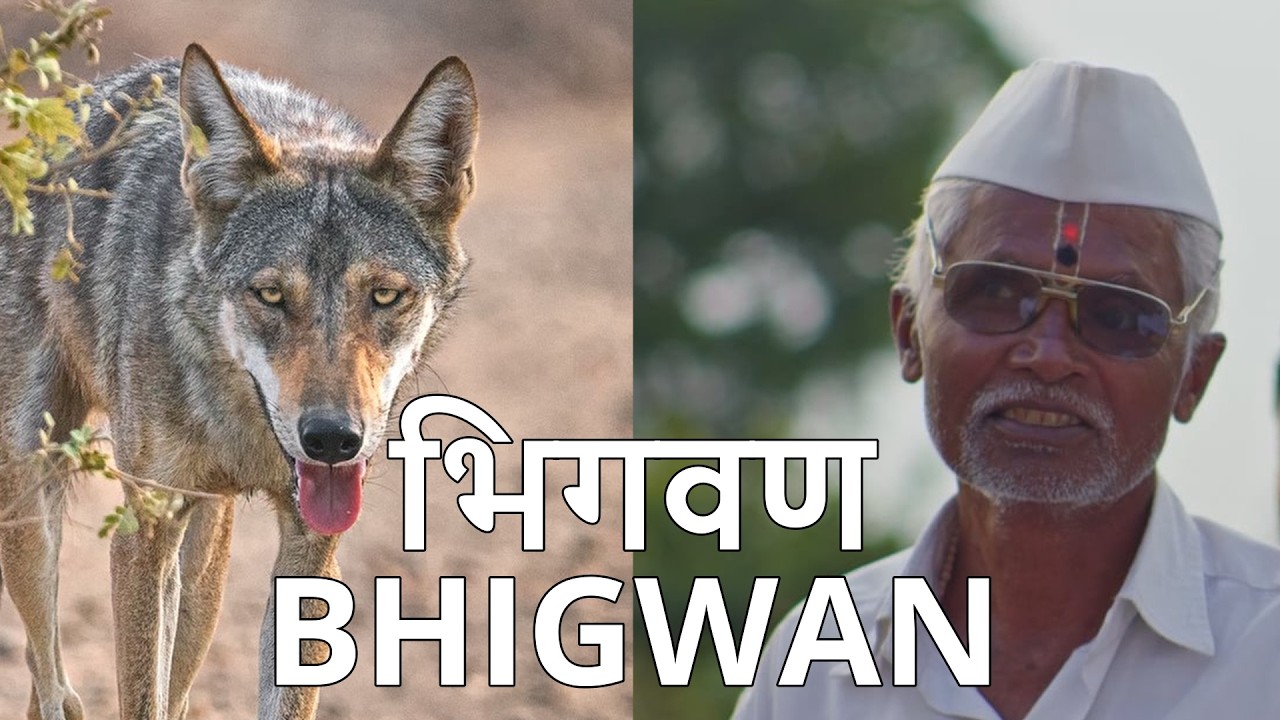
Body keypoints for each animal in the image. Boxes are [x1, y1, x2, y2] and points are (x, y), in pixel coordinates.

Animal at [0, 44, 477, 719]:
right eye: (270, 295)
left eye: (385, 296)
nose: (332, 439)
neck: (238, 426)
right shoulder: (143, 536)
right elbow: (138, 696)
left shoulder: (312, 543)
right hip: (32, 505)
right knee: (46, 669)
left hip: (205, 564)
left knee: (175, 686)